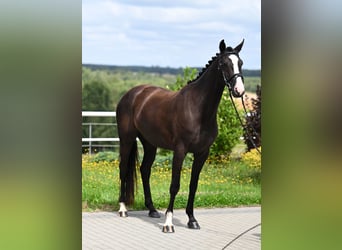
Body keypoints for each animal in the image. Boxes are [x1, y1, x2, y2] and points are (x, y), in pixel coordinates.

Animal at [116, 39, 244, 232]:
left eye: (240, 63)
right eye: (223, 64)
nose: (239, 90)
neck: (198, 109)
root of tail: (131, 94)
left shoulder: (202, 153)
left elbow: (193, 185)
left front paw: (192, 219)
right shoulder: (180, 150)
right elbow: (174, 186)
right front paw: (168, 223)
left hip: (150, 144)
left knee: (145, 170)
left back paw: (152, 209)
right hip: (127, 140)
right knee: (123, 168)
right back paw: (123, 208)